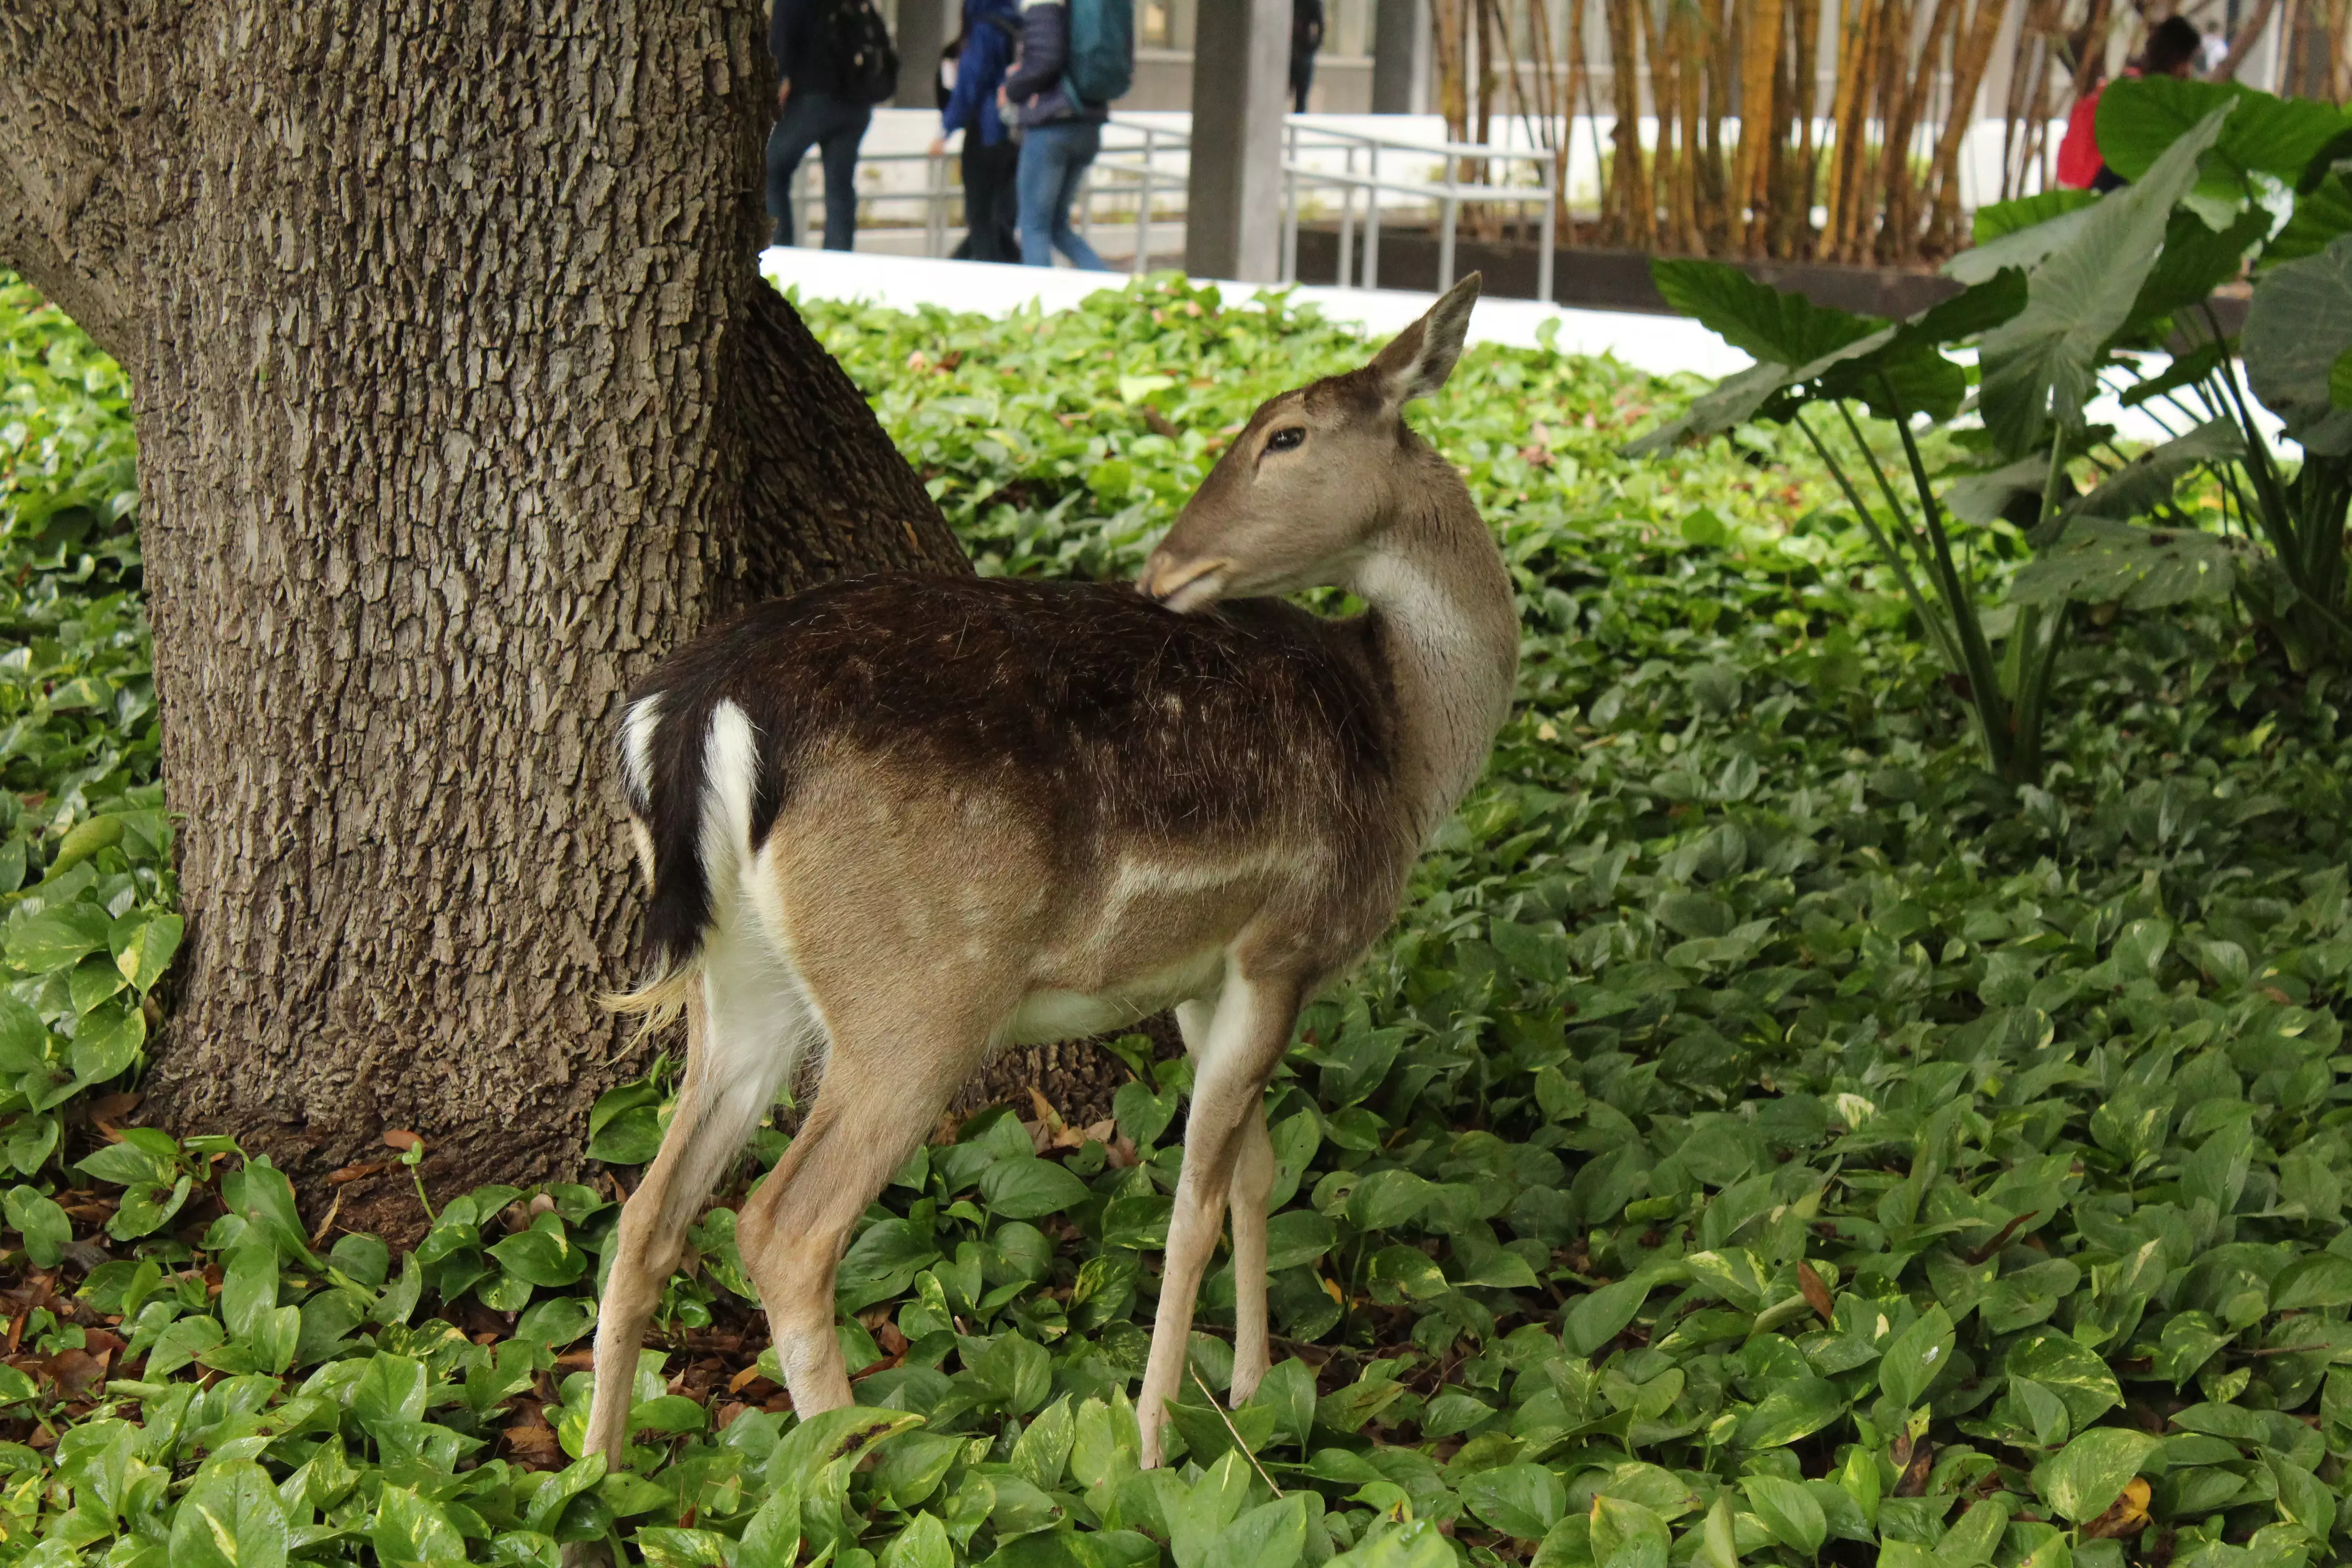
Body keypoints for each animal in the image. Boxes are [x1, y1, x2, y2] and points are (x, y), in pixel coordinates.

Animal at [578, 276, 1514, 1514]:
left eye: (1284, 433)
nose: (1164, 570)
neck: (1406, 749)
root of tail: (694, 707)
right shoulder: (1287, 940)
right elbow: (1193, 1203)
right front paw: (1161, 1446)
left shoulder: (1201, 971)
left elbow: (1256, 1170)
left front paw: (1257, 1389)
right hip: (917, 994)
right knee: (784, 1227)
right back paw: (858, 1474)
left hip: (742, 982)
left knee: (646, 1210)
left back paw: (596, 1473)